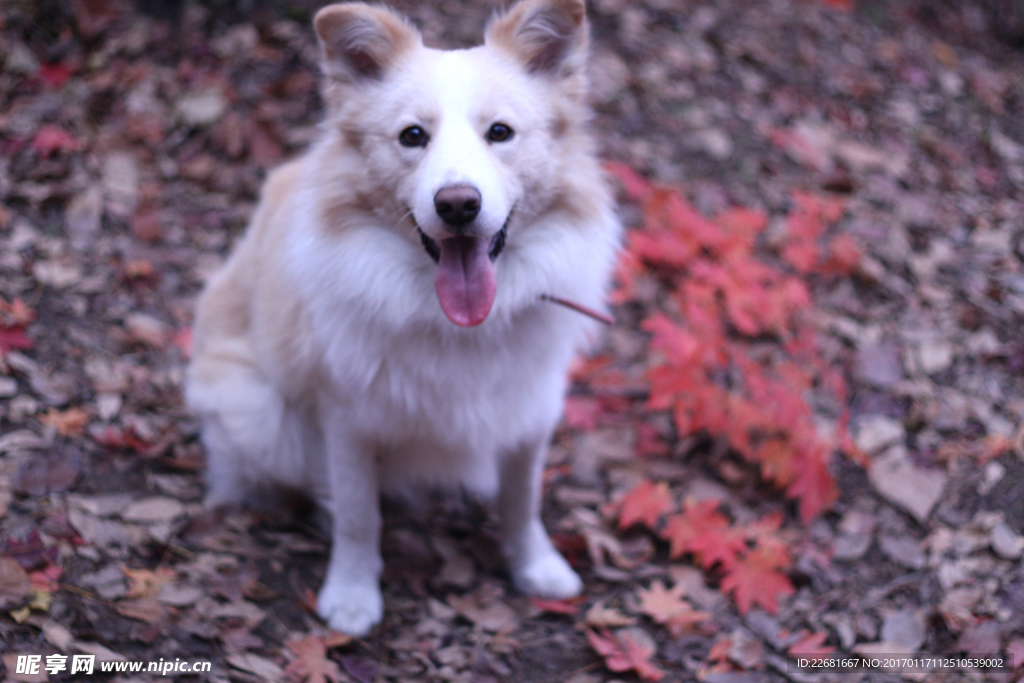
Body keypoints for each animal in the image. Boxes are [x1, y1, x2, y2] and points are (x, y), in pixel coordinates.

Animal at [185, 0, 618, 634]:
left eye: (500, 133)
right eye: (413, 136)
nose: (458, 205)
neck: (455, 324)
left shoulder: (531, 410)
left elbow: (522, 502)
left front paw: (536, 567)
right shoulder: (347, 422)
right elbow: (358, 514)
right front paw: (351, 595)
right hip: (259, 413)